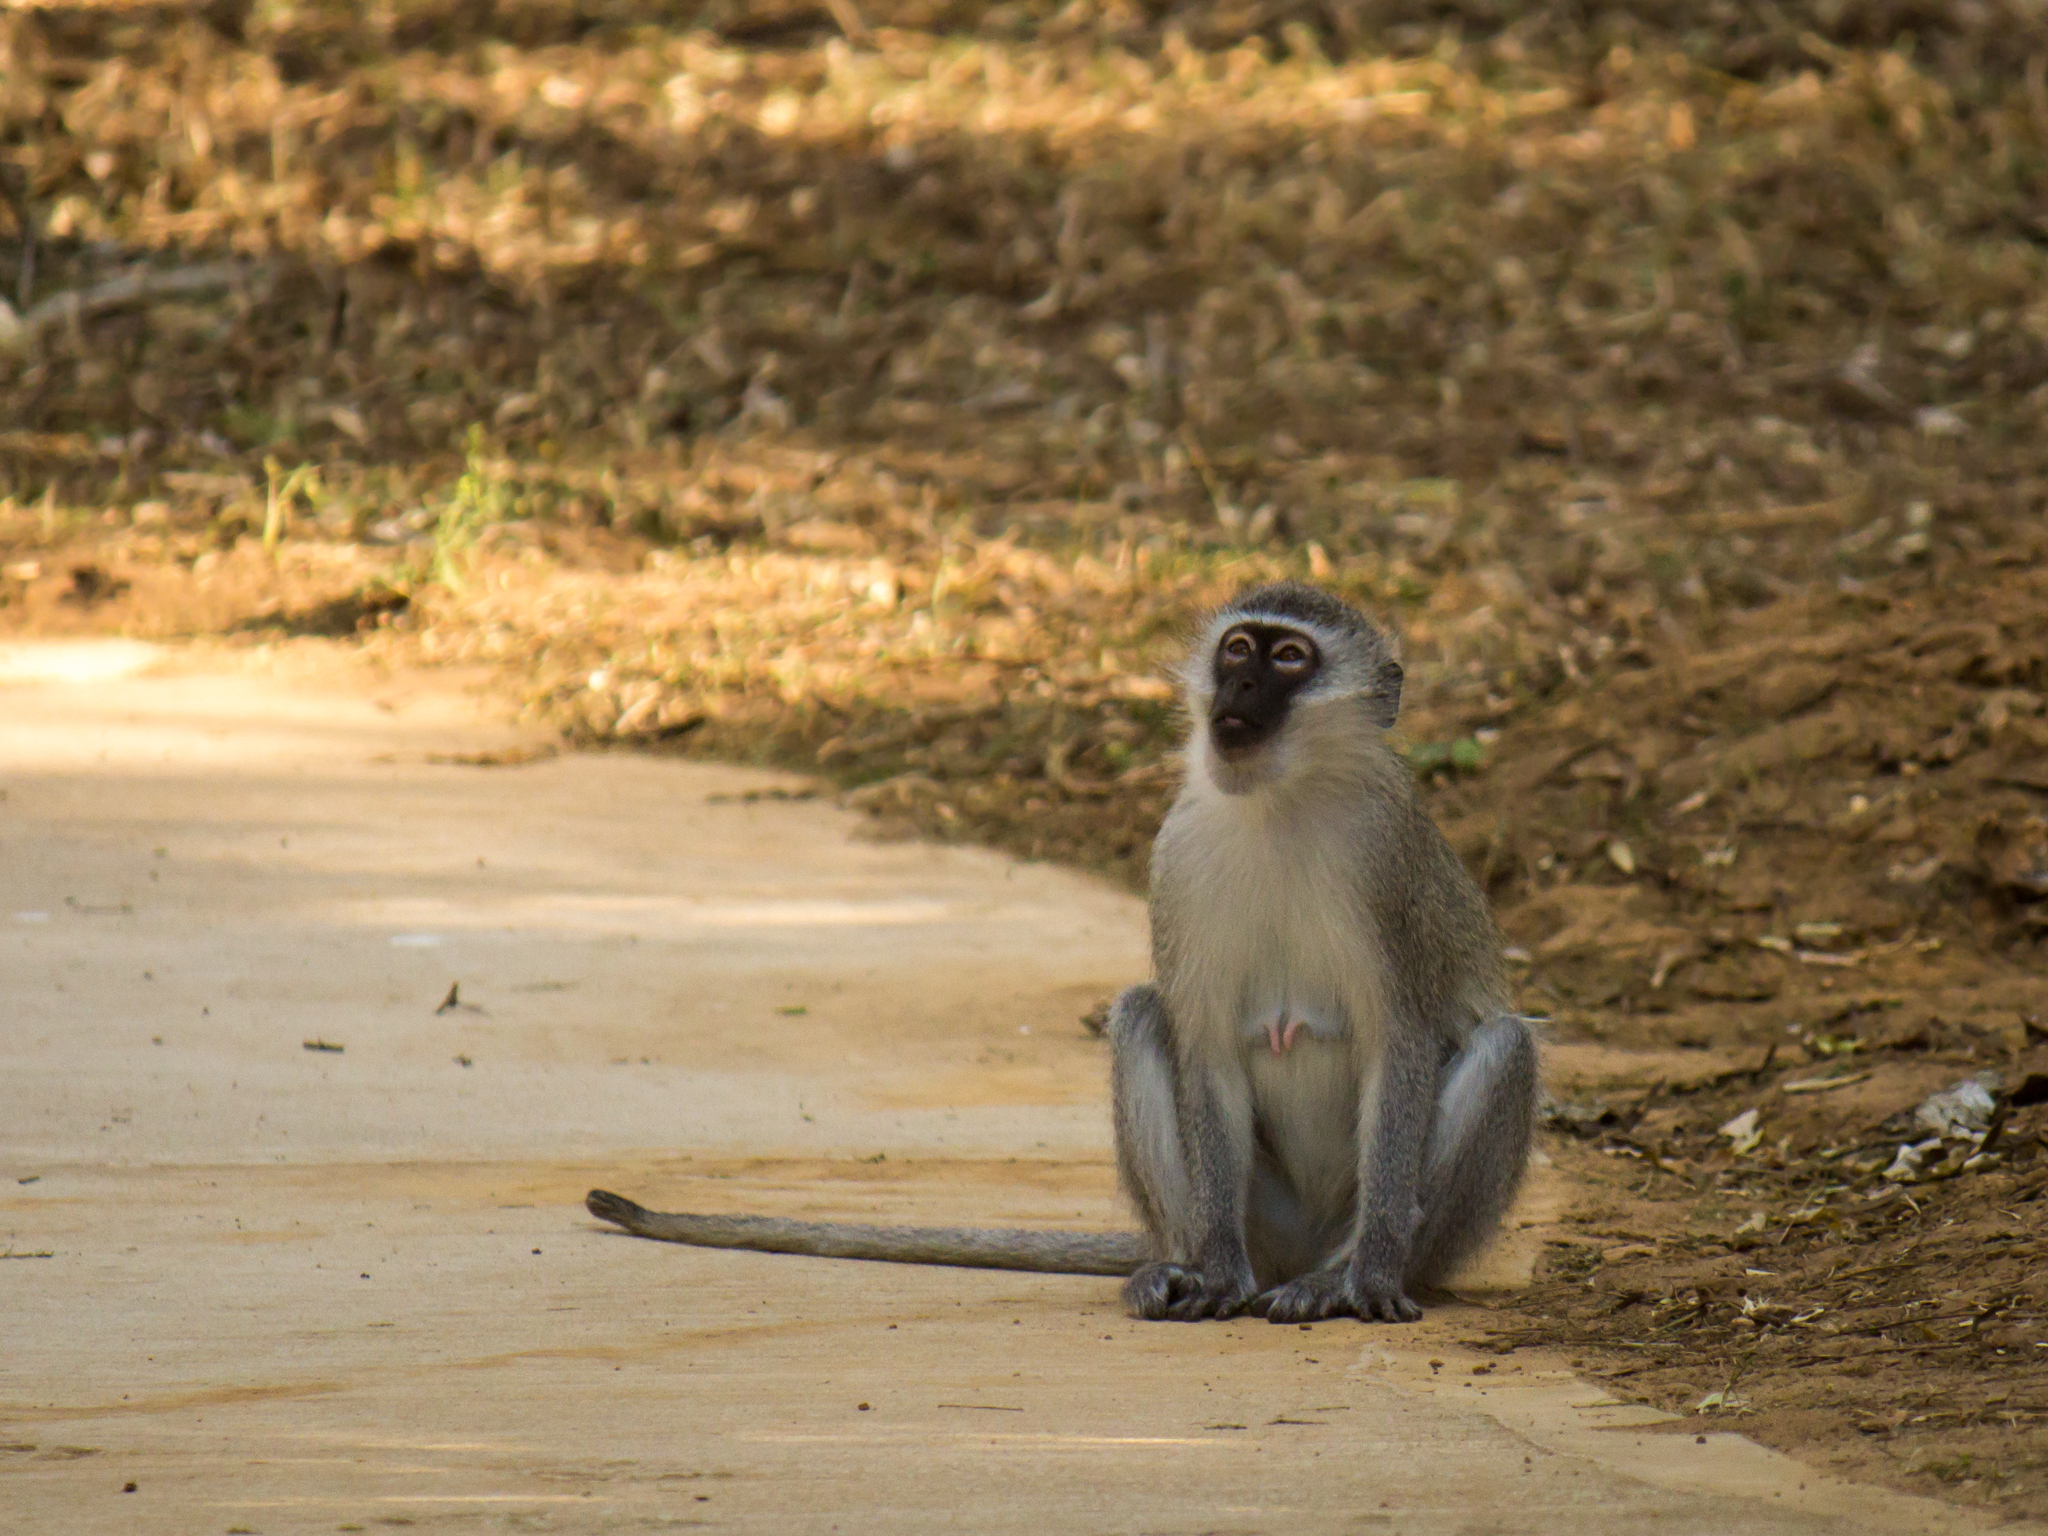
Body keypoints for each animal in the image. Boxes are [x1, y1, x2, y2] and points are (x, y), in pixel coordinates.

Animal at [585, 581, 1531, 1327]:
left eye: (1292, 657)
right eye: (1238, 647)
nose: (1239, 683)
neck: (1281, 800)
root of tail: (1289, 1254)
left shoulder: (1386, 861)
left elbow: (1400, 1043)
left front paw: (1367, 1278)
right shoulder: (1175, 857)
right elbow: (1206, 1051)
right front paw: (1217, 1274)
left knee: (1505, 1045)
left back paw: (1339, 1275)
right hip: (1262, 1215)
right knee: (1144, 1014)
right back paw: (1184, 1266)